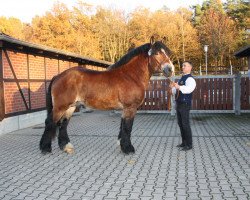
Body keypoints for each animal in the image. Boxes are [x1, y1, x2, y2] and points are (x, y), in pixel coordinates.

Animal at [40, 37, 174, 155]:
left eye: (167, 53)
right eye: (156, 53)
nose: (170, 69)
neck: (131, 76)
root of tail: (58, 76)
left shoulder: (125, 109)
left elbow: (122, 126)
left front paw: (121, 145)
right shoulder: (130, 108)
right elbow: (128, 127)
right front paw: (128, 149)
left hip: (71, 106)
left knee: (63, 124)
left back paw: (65, 146)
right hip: (60, 107)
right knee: (50, 122)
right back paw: (45, 148)